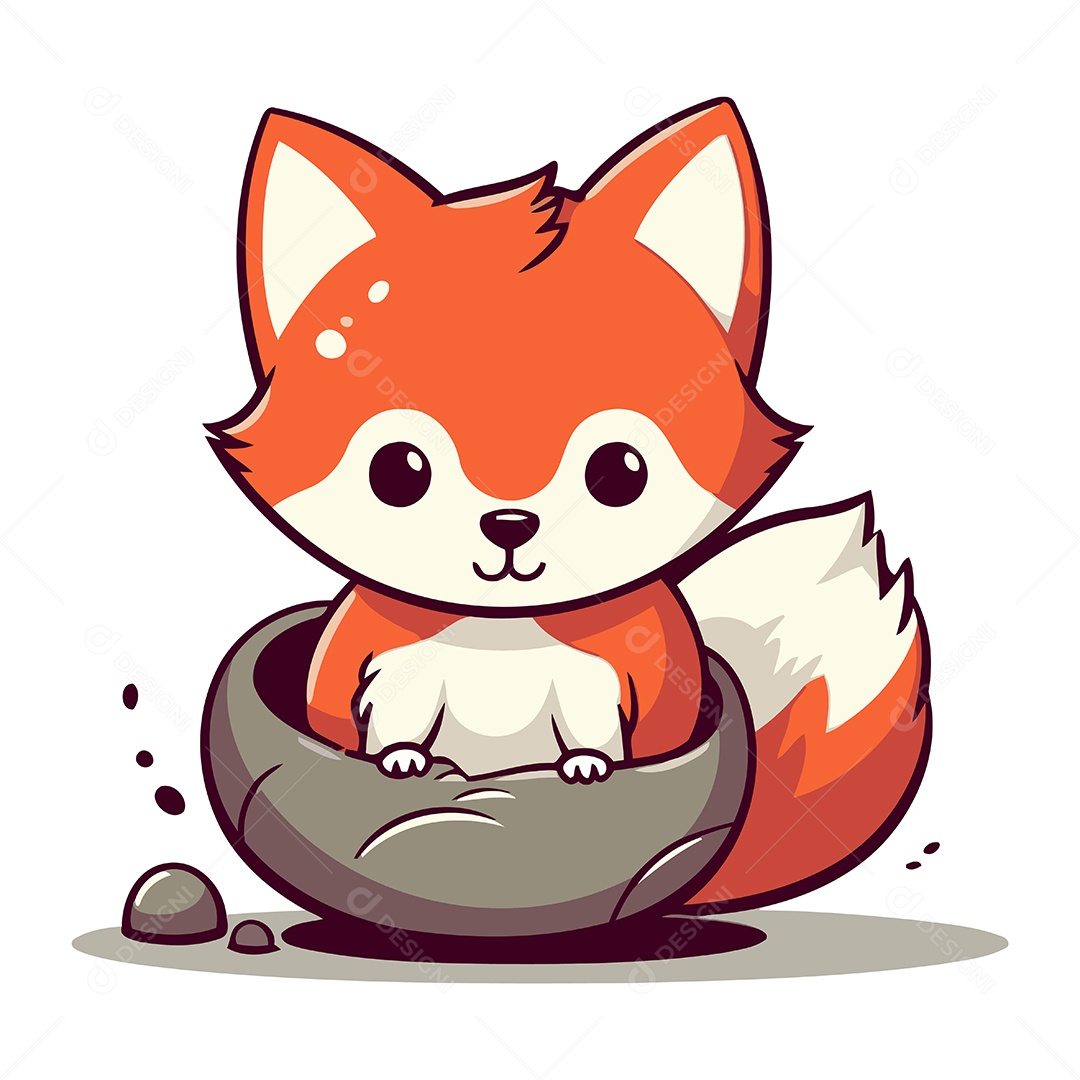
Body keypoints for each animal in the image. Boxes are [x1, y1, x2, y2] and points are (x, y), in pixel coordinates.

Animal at [209, 100, 931, 912]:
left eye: (619, 472)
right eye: (397, 472)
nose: (510, 525)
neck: (501, 631)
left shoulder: (630, 665)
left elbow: (613, 737)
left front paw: (586, 766)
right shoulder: (374, 654)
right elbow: (368, 722)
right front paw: (399, 760)